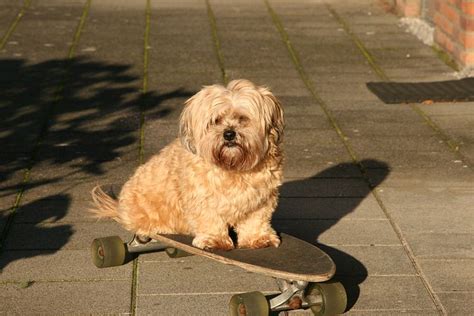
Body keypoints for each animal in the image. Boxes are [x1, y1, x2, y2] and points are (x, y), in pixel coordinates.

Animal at [91, 78, 286, 249]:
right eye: (215, 121)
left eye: (243, 119)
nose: (229, 134)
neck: (233, 166)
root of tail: (119, 208)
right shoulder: (203, 198)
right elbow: (210, 219)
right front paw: (214, 240)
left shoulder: (261, 200)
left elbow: (256, 221)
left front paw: (258, 238)